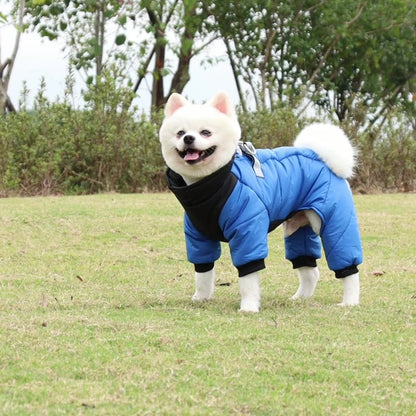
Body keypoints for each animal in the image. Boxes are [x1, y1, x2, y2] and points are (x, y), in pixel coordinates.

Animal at [158, 92, 360, 312]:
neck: (207, 186)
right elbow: (203, 273)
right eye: (180, 133)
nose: (188, 138)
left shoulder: (248, 231)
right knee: (310, 269)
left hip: (334, 221)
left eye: (205, 132)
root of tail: (320, 157)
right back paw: (300, 298)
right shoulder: (198, 237)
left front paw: (248, 306)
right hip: (299, 227)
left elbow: (247, 278)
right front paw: (201, 298)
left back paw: (350, 301)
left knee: (347, 264)